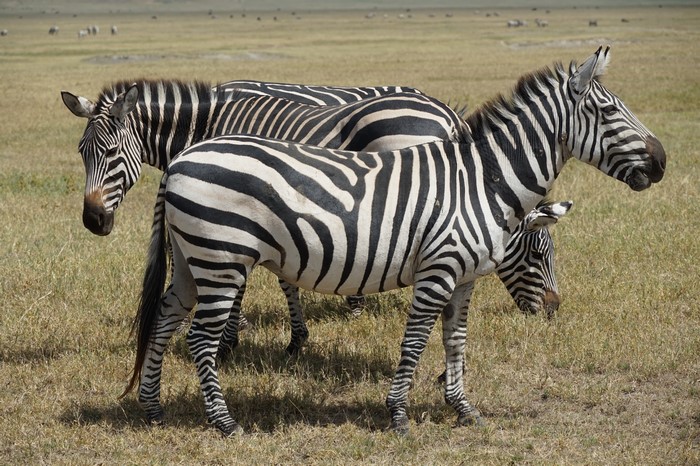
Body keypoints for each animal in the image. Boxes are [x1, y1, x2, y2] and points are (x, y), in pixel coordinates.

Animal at [121, 46, 666, 435]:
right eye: (608, 112)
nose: (661, 162)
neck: (484, 180)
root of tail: (180, 159)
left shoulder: (465, 277)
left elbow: (455, 341)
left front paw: (463, 409)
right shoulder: (438, 269)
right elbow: (416, 340)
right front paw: (399, 415)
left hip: (193, 260)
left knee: (165, 316)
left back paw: (152, 409)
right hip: (223, 259)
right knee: (199, 337)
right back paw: (225, 423)